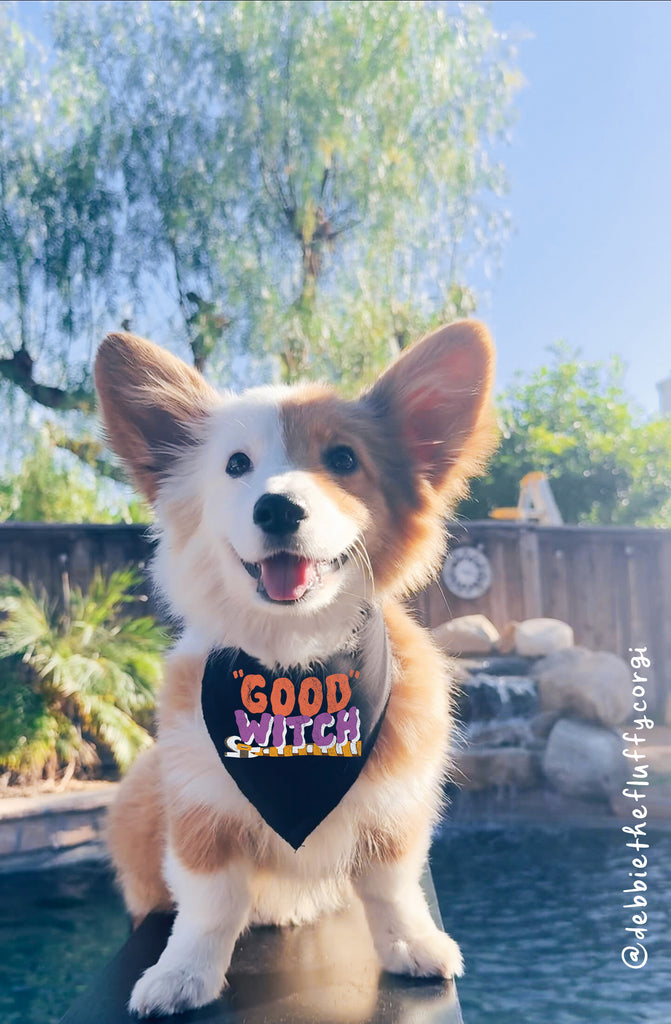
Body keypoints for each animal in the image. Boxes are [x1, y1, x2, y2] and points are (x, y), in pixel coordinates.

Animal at [94, 319, 495, 1015]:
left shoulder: (396, 806)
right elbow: (209, 903)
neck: (295, 667)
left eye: (343, 460)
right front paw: (181, 975)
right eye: (236, 465)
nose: (277, 508)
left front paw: (412, 946)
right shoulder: (198, 809)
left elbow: (392, 887)